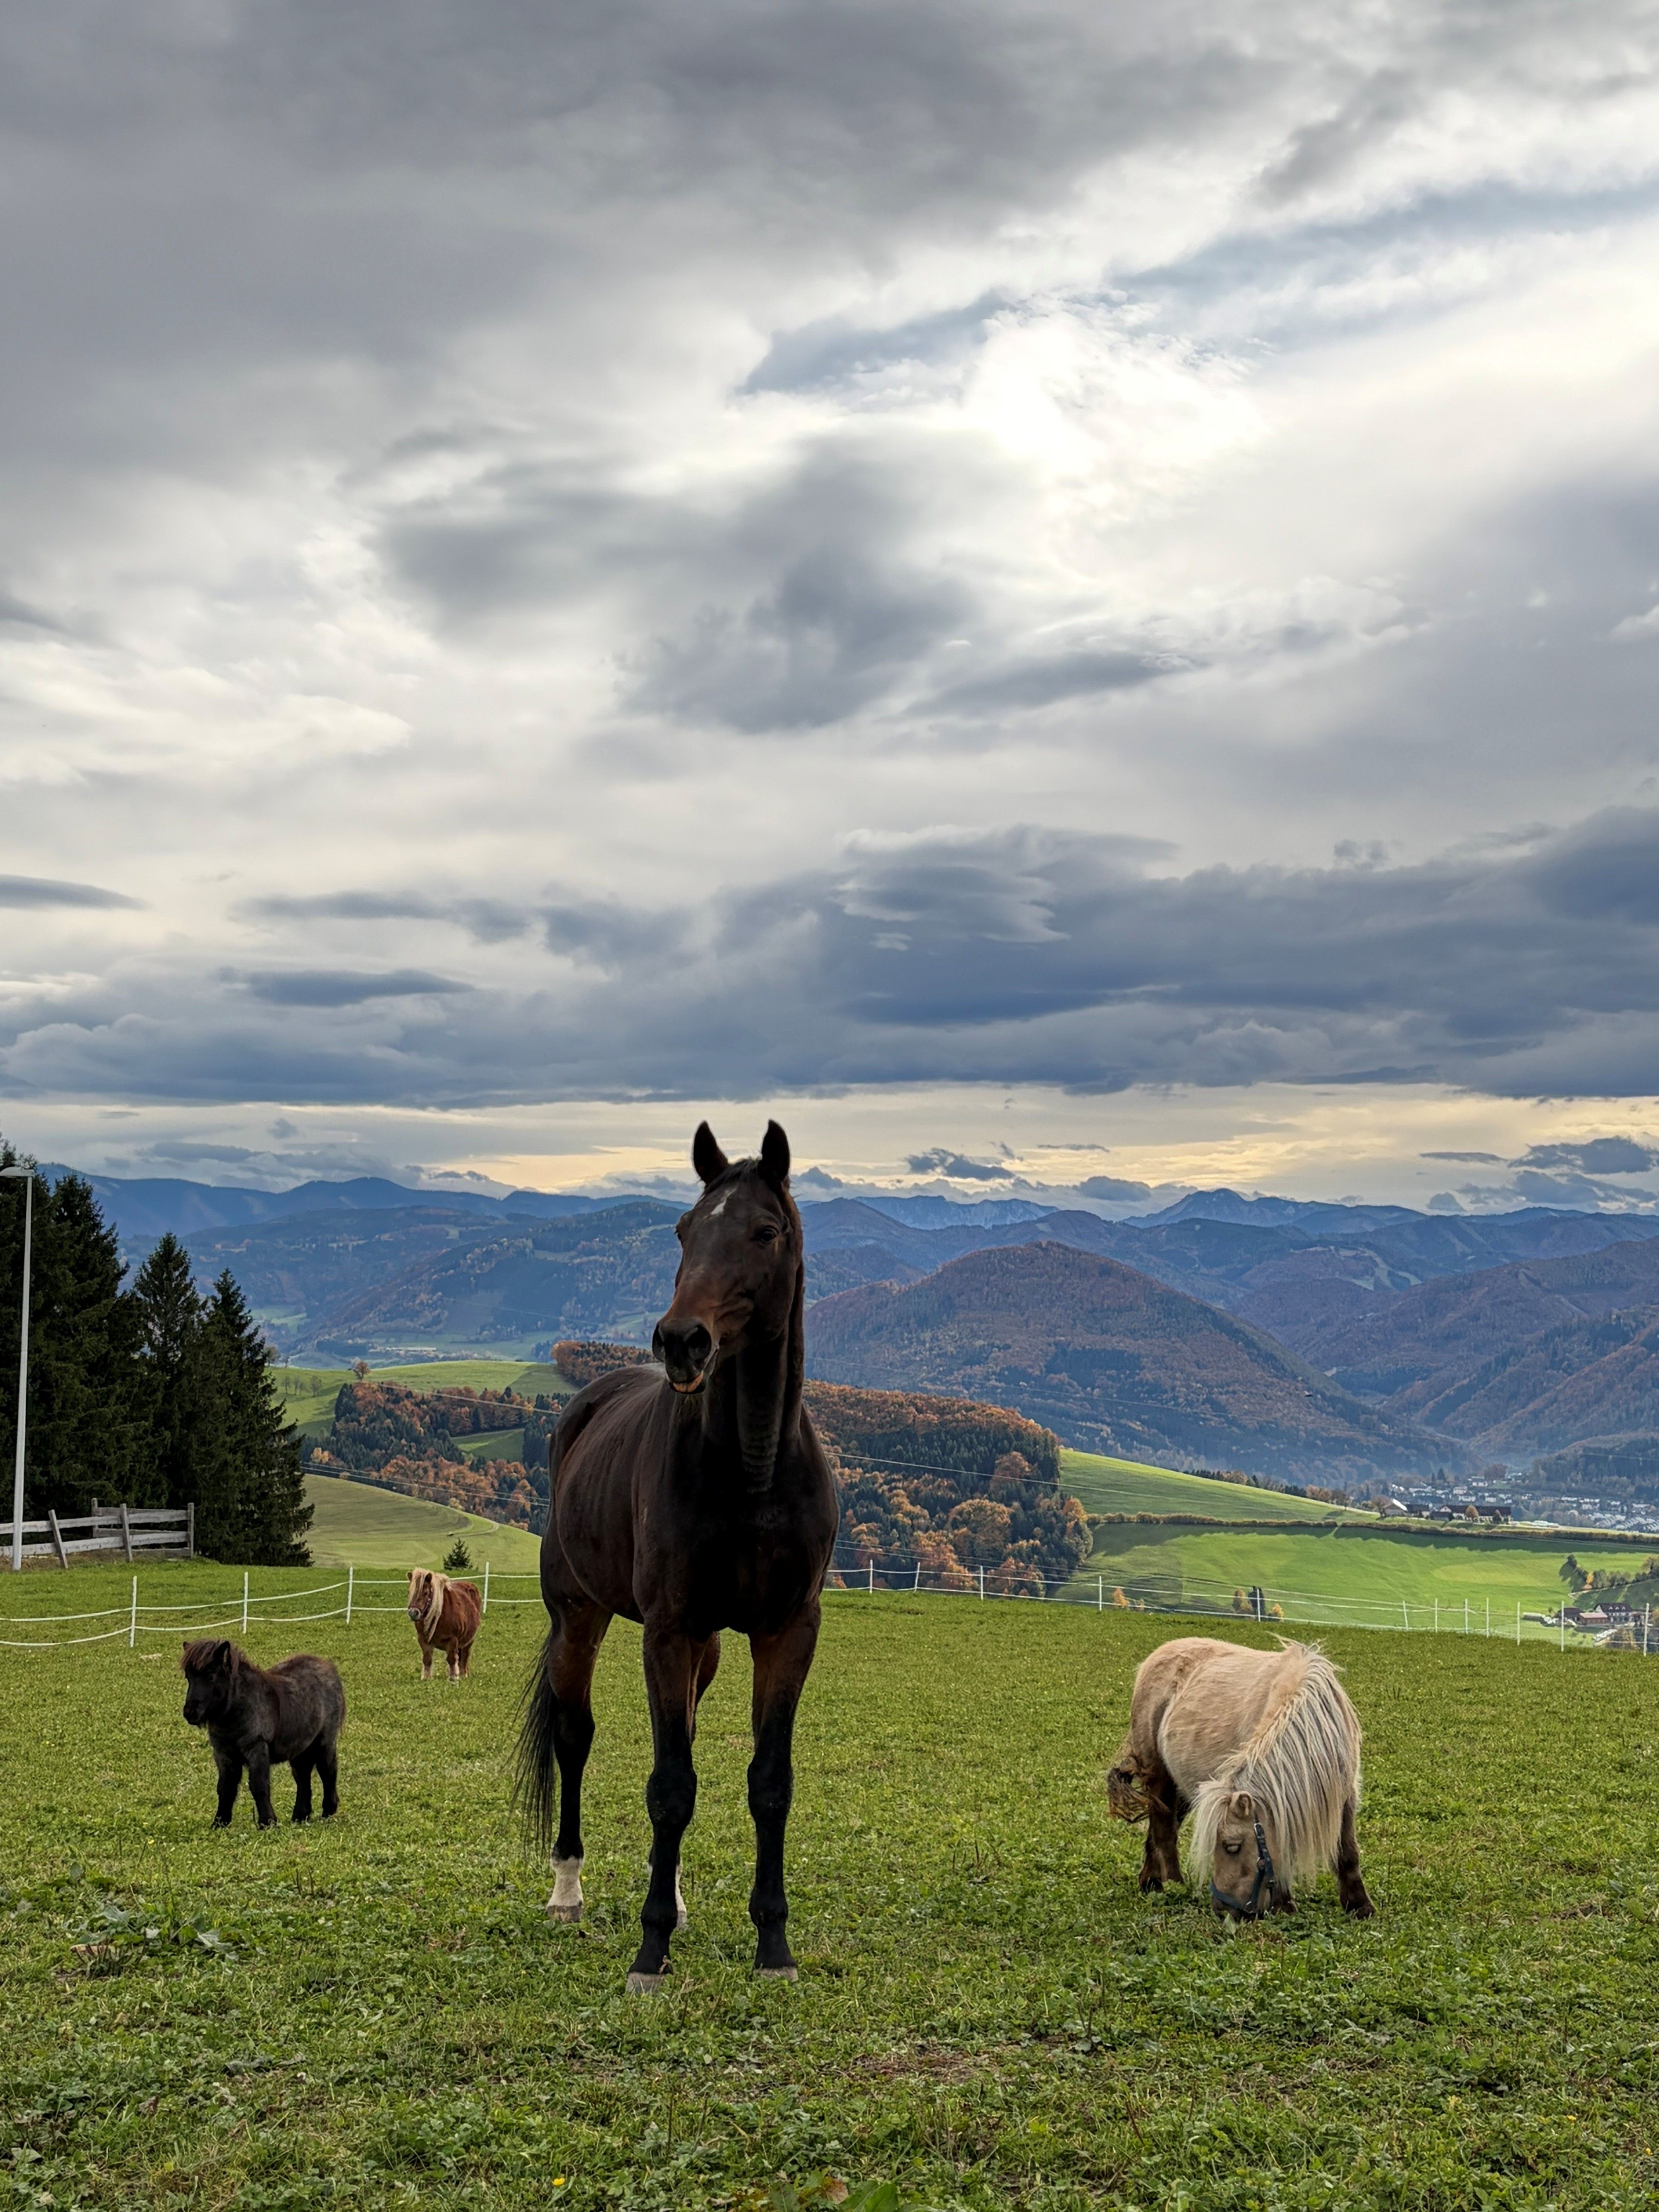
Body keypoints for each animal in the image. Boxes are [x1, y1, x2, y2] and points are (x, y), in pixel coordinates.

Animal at [181, 1639, 346, 1828]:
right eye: (188, 1677)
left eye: (211, 1676)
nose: (190, 1713)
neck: (237, 1710)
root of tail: (329, 1669)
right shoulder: (223, 1755)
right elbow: (225, 1788)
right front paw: (220, 1823)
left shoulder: (257, 1749)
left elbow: (259, 1786)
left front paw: (268, 1822)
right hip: (300, 1749)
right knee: (303, 1778)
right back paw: (300, 1816)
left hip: (324, 1743)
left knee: (328, 1771)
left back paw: (328, 1810)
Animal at [407, 1568, 482, 1680]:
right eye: (409, 1592)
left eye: (425, 1593)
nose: (413, 1613)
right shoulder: (423, 1640)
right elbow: (427, 1660)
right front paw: (427, 1678)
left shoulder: (453, 1640)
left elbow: (452, 1660)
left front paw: (453, 1678)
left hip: (469, 1641)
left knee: (465, 1657)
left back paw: (463, 1675)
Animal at [516, 1119, 840, 1992]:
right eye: (685, 1230)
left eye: (764, 1231)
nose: (680, 1341)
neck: (753, 1470)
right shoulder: (663, 1631)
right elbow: (668, 1787)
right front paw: (649, 1951)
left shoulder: (786, 1633)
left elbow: (768, 1784)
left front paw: (773, 1946)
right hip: (580, 1621)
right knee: (575, 1736)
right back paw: (567, 1892)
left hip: (707, 1648)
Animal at [1106, 1635, 1374, 1919]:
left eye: (1231, 1846)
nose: (1223, 1909)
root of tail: (1155, 1658)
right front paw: (1284, 1904)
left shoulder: (1345, 1793)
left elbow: (1347, 1850)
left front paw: (1359, 1906)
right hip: (1160, 1775)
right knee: (1163, 1827)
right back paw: (1166, 1883)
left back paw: (1151, 1880)